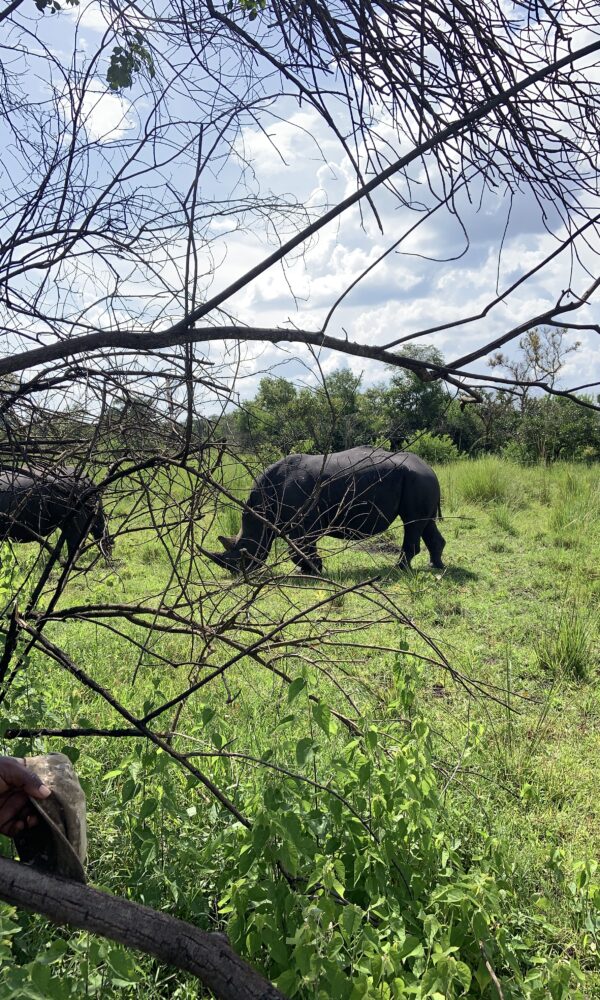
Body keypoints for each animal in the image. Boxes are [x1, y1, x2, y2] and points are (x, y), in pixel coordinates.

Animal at [208, 447, 445, 575]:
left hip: (418, 480)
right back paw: (436, 566)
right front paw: (307, 570)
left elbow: (300, 547)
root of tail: (430, 468)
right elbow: (300, 547)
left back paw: (398, 569)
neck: (261, 512)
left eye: (244, 550)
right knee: (424, 522)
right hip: (420, 480)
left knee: (412, 522)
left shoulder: (303, 523)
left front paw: (313, 569)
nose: (239, 573)